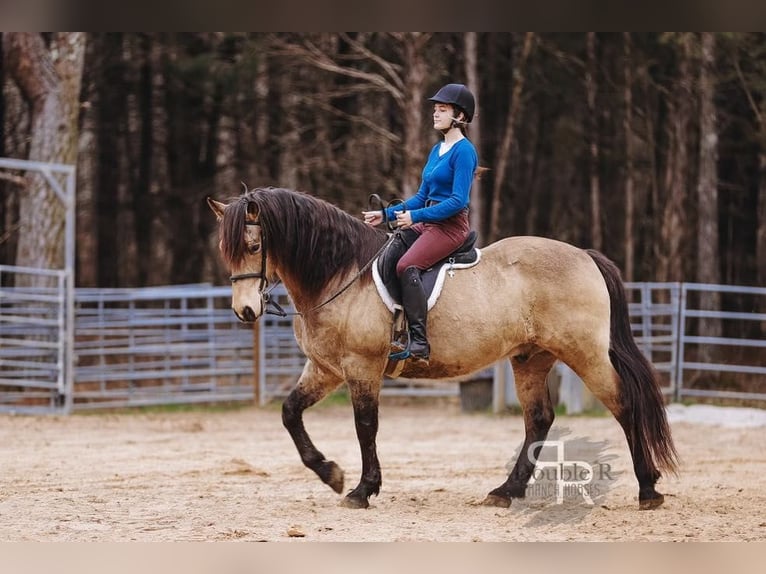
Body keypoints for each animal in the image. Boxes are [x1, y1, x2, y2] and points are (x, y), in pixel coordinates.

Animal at [207, 187, 680, 510]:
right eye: (225, 251)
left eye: (253, 246)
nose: (245, 311)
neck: (339, 274)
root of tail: (583, 255)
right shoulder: (325, 369)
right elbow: (290, 413)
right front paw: (332, 475)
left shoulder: (361, 367)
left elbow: (365, 427)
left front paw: (361, 489)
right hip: (531, 358)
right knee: (539, 419)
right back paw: (505, 492)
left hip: (584, 353)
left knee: (623, 404)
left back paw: (647, 488)